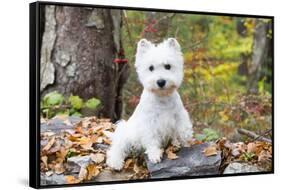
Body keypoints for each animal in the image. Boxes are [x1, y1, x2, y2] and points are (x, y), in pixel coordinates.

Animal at [105, 37, 192, 170]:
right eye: (151, 68)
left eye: (168, 66)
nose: (161, 82)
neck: (162, 98)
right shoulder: (149, 124)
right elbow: (152, 139)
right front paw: (155, 155)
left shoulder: (179, 116)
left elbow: (182, 130)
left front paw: (183, 141)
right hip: (124, 133)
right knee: (117, 148)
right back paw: (116, 163)